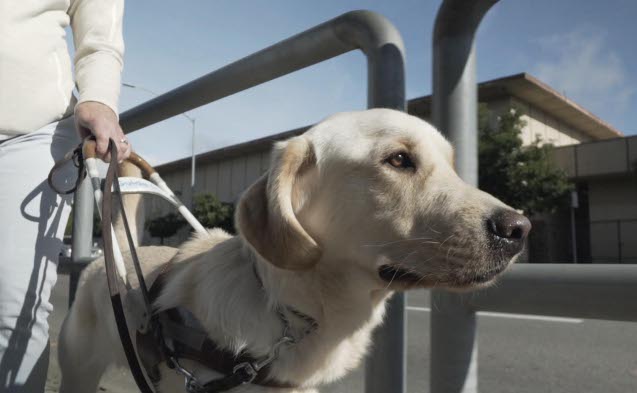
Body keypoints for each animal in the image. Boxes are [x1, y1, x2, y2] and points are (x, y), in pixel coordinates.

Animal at [59, 108, 528, 392]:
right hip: (78, 369)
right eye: (398, 160)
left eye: (452, 165)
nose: (519, 229)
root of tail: (113, 252)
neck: (286, 310)